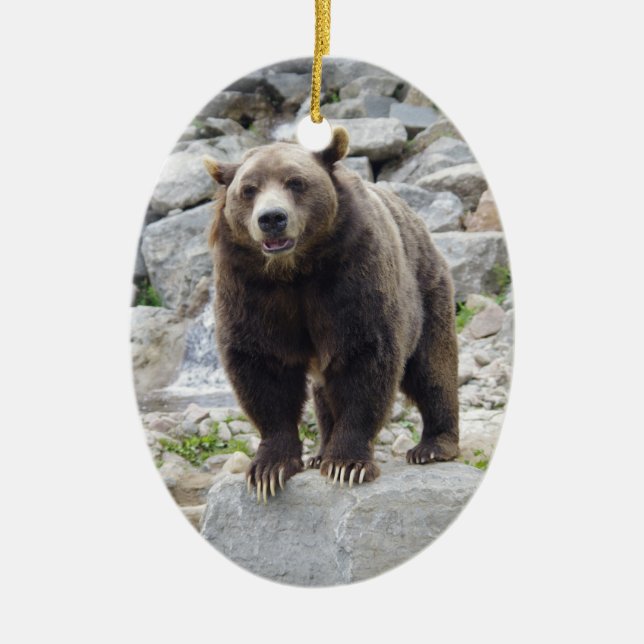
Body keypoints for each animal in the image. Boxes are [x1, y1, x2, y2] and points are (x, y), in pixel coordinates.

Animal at [203, 127, 459, 502]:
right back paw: (320, 451)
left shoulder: (351, 273)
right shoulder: (250, 287)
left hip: (427, 290)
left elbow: (363, 357)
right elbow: (262, 366)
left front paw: (347, 464)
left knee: (432, 367)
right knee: (324, 392)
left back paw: (434, 446)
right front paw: (269, 469)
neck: (295, 270)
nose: (272, 219)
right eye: (248, 189)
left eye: (296, 182)